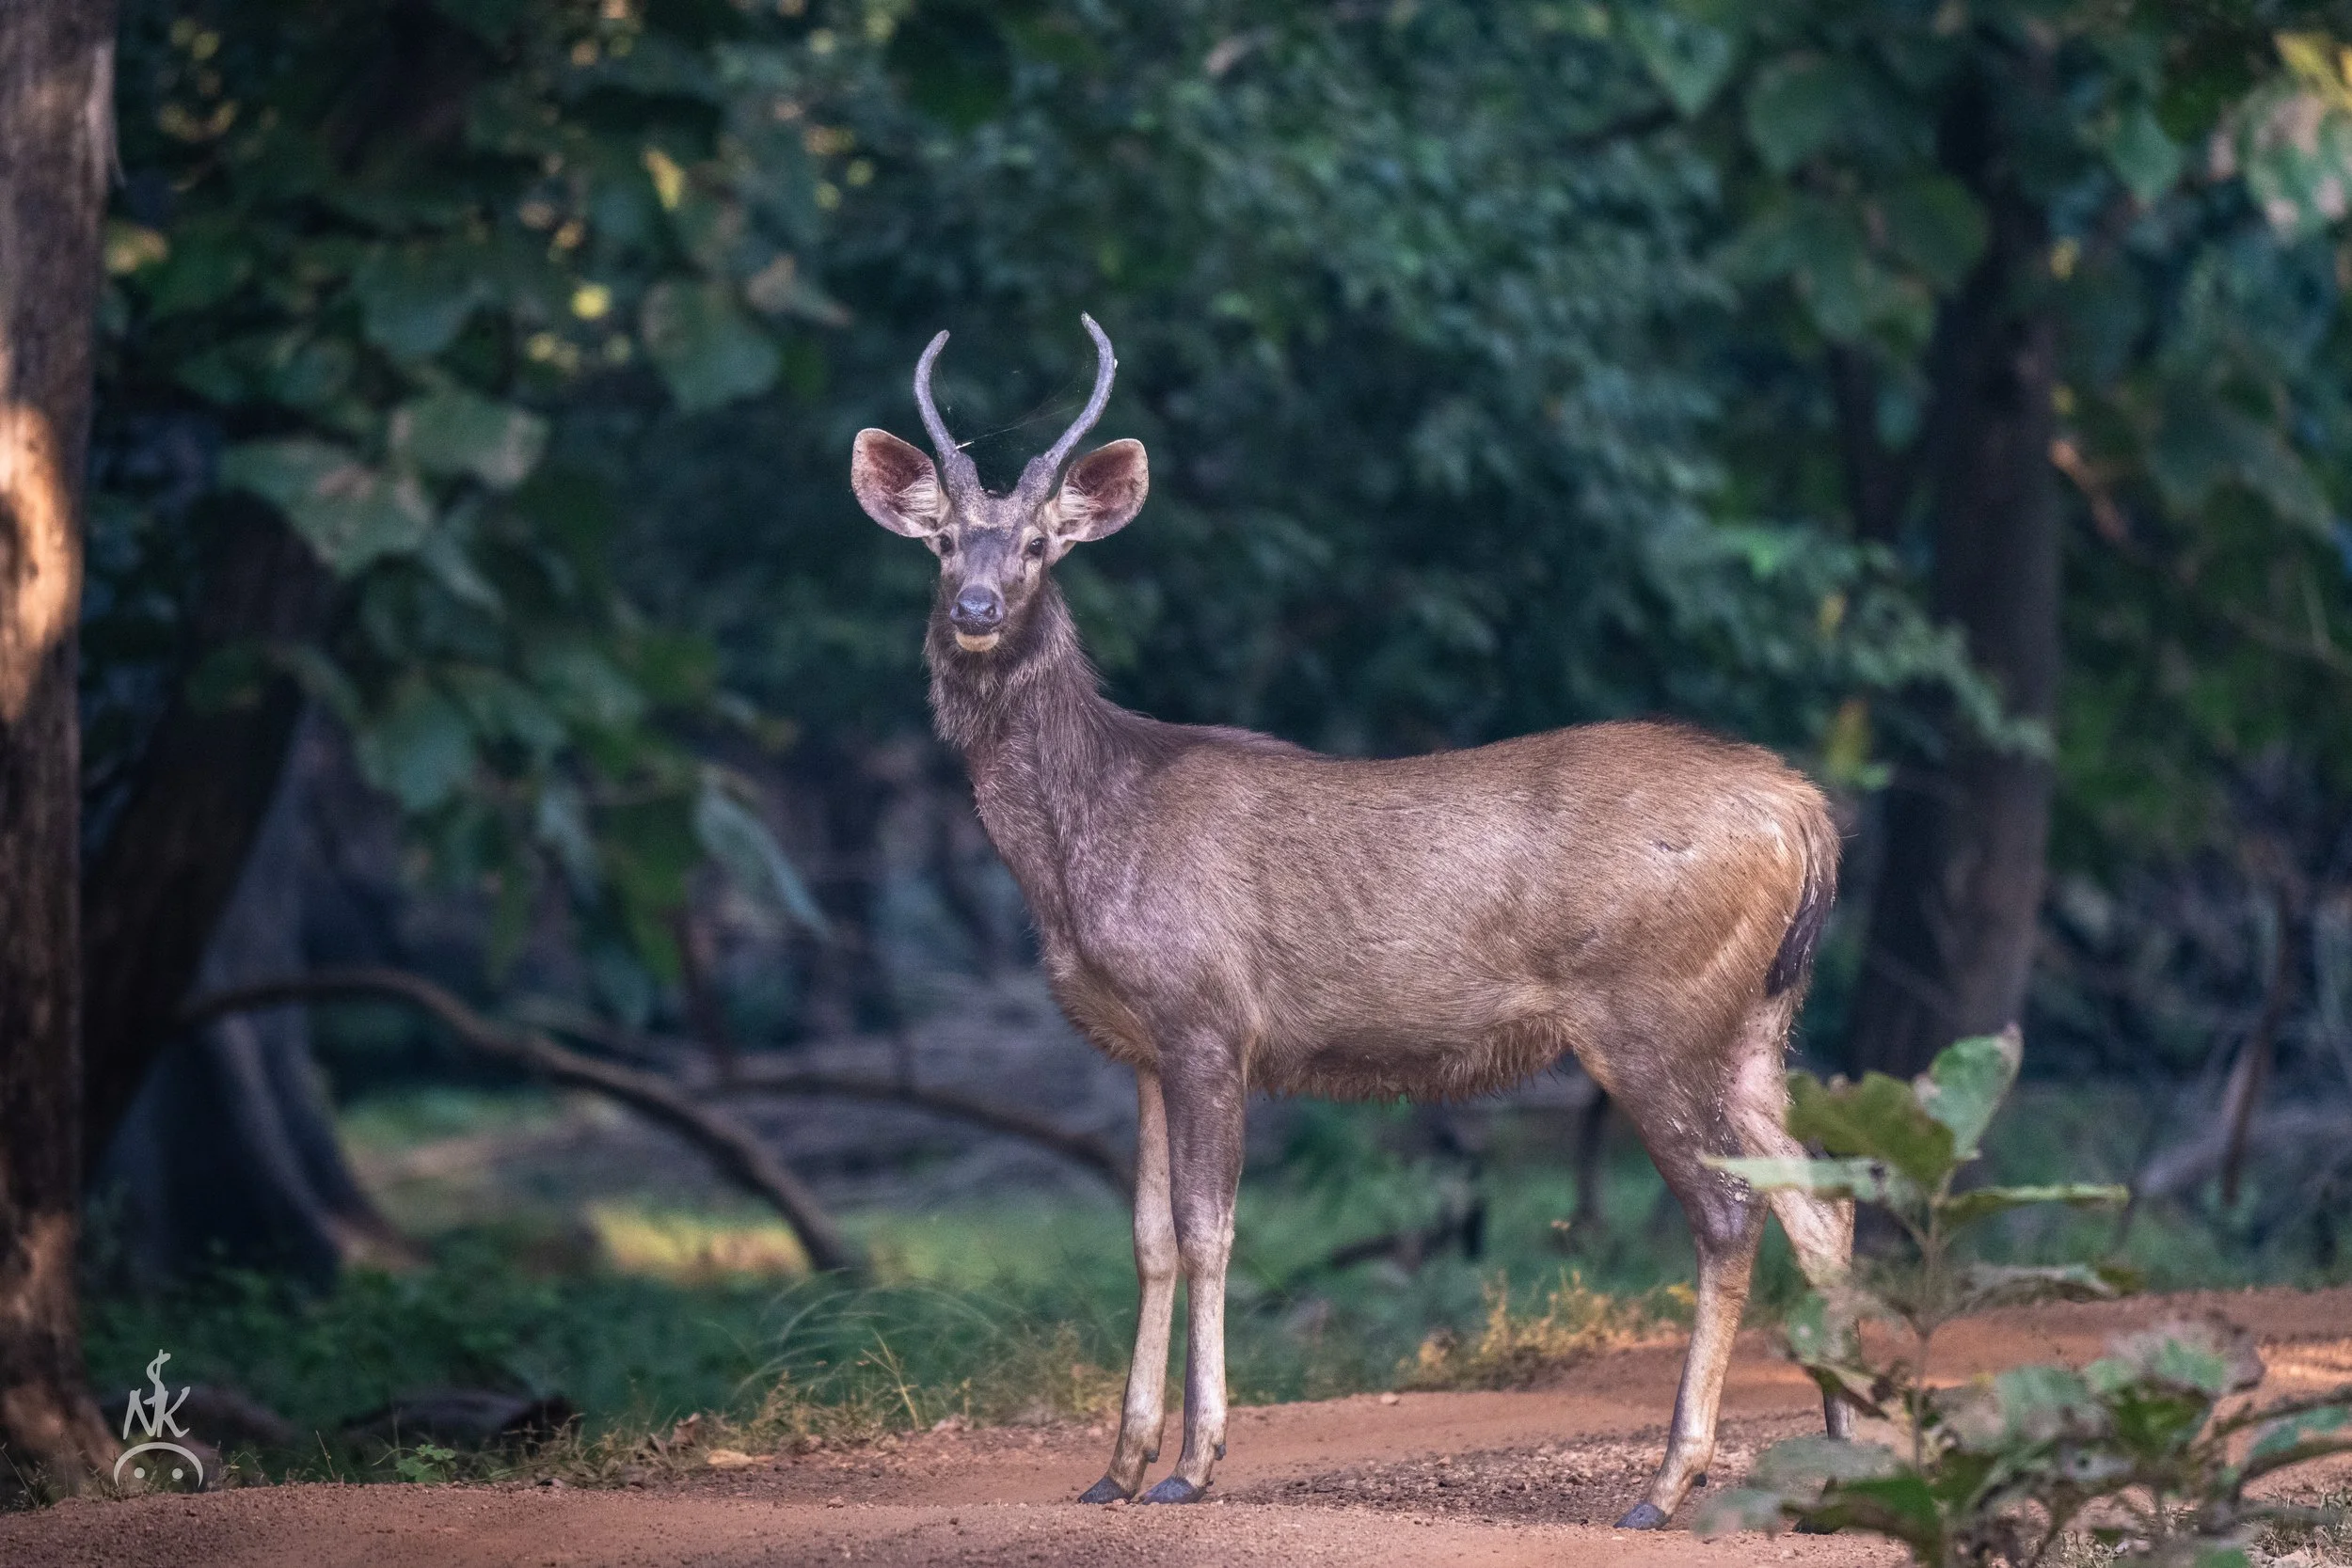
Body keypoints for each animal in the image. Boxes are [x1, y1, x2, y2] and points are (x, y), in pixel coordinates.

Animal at [849, 315, 1855, 1528]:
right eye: (943, 540)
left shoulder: (1208, 1017)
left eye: (1044, 543)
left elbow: (1208, 1230)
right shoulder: (1137, 1045)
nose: (977, 610)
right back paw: (1848, 1436)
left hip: (1651, 1010)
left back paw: (1669, 1481)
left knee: (1729, 1210)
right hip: (1754, 1021)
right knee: (1819, 1198)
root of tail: (1804, 814)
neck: (1084, 844)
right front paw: (1114, 1465)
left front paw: (1192, 1462)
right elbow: (1144, 1239)